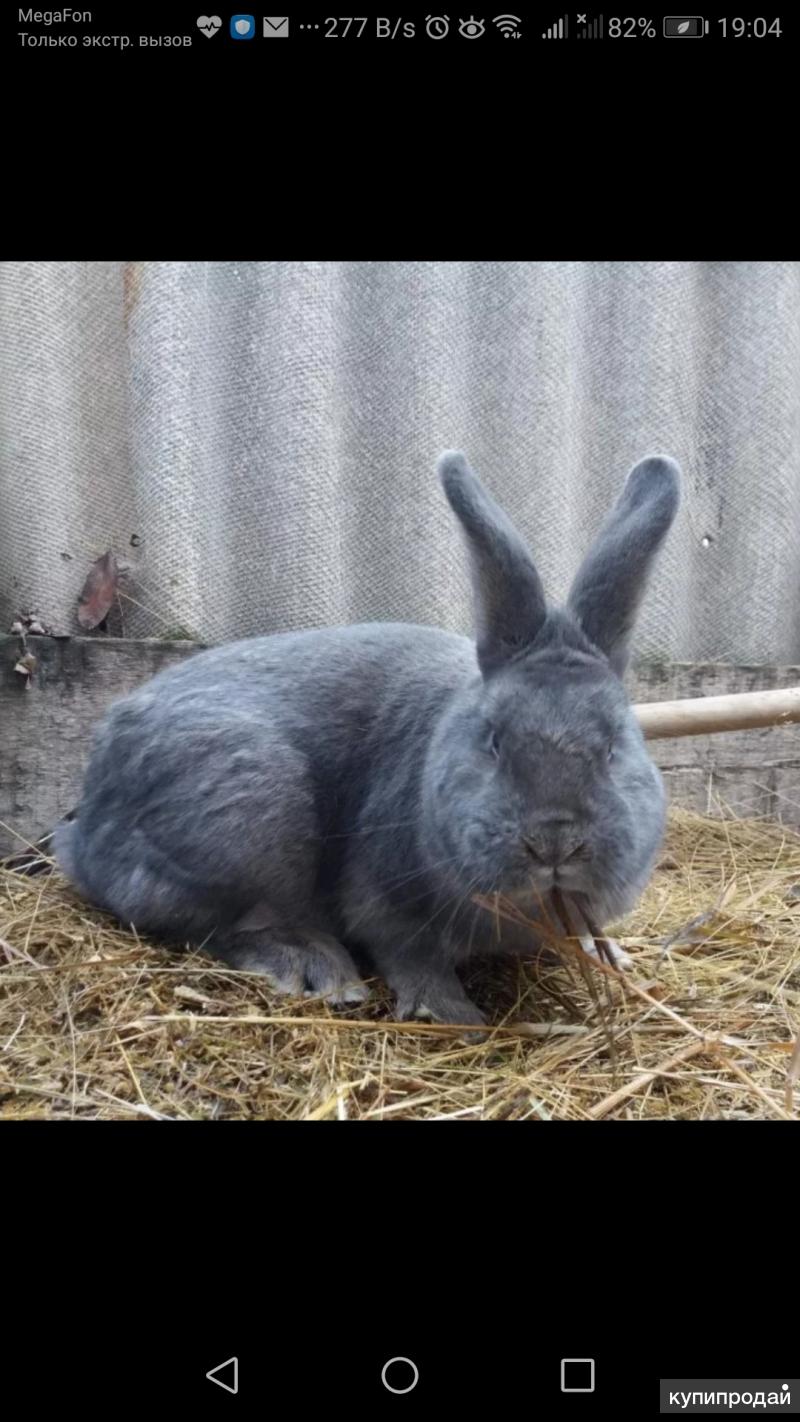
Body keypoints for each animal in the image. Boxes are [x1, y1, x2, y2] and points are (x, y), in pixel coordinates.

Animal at [56, 455, 682, 1023]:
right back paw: (317, 969)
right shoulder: (385, 904)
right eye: (493, 741)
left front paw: (617, 956)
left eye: (614, 746)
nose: (555, 842)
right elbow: (411, 956)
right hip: (251, 812)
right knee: (214, 923)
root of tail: (87, 823)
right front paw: (454, 1014)